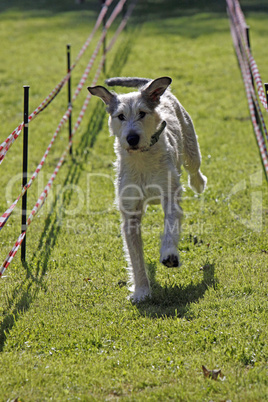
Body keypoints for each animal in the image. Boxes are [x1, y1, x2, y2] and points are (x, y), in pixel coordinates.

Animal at [87, 77, 206, 302]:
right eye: (120, 116)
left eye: (142, 113)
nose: (132, 138)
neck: (142, 158)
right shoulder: (130, 211)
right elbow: (135, 257)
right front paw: (141, 291)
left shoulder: (170, 194)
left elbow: (170, 226)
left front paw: (169, 254)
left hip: (190, 141)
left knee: (194, 167)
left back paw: (198, 183)